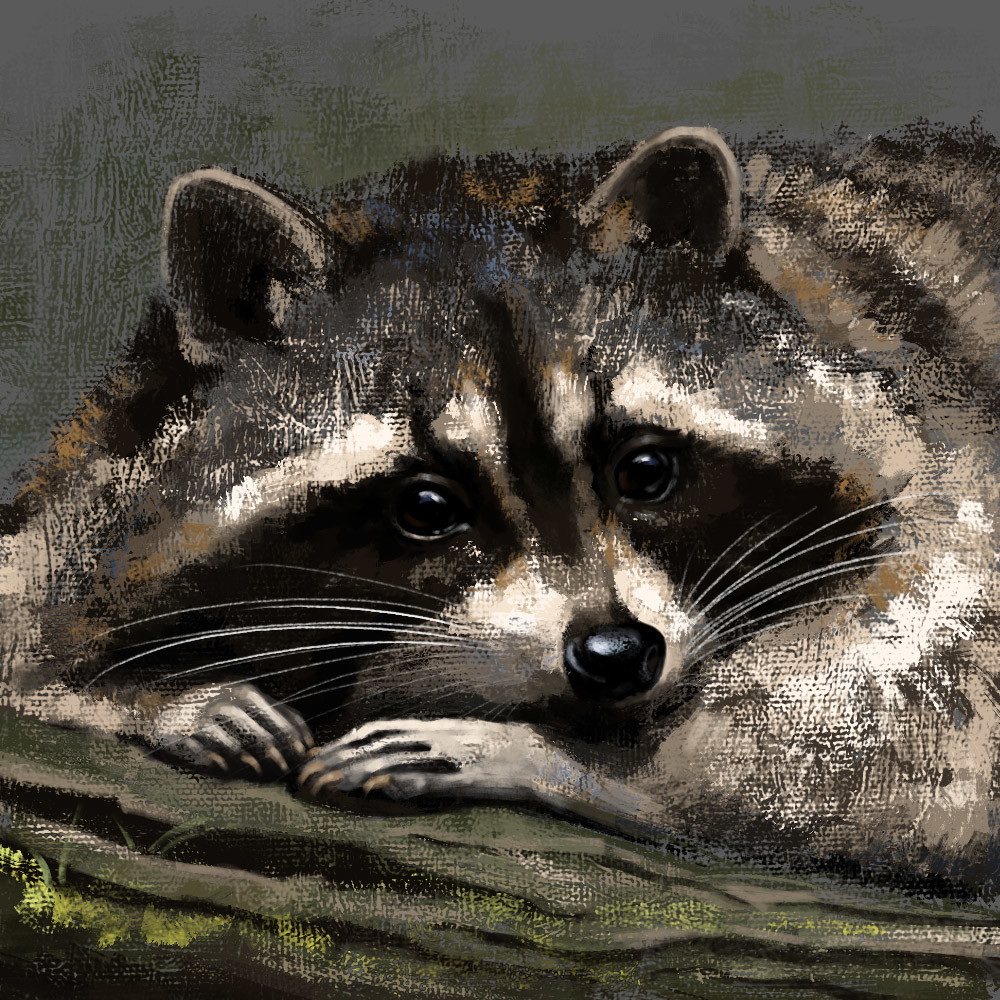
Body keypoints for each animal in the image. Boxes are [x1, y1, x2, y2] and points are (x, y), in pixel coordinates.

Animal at [2, 123, 999, 883]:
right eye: (426, 506)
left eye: (646, 471)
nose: (618, 655)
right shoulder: (98, 483)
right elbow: (29, 611)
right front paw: (139, 698)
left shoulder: (946, 464)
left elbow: (918, 743)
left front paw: (537, 755)